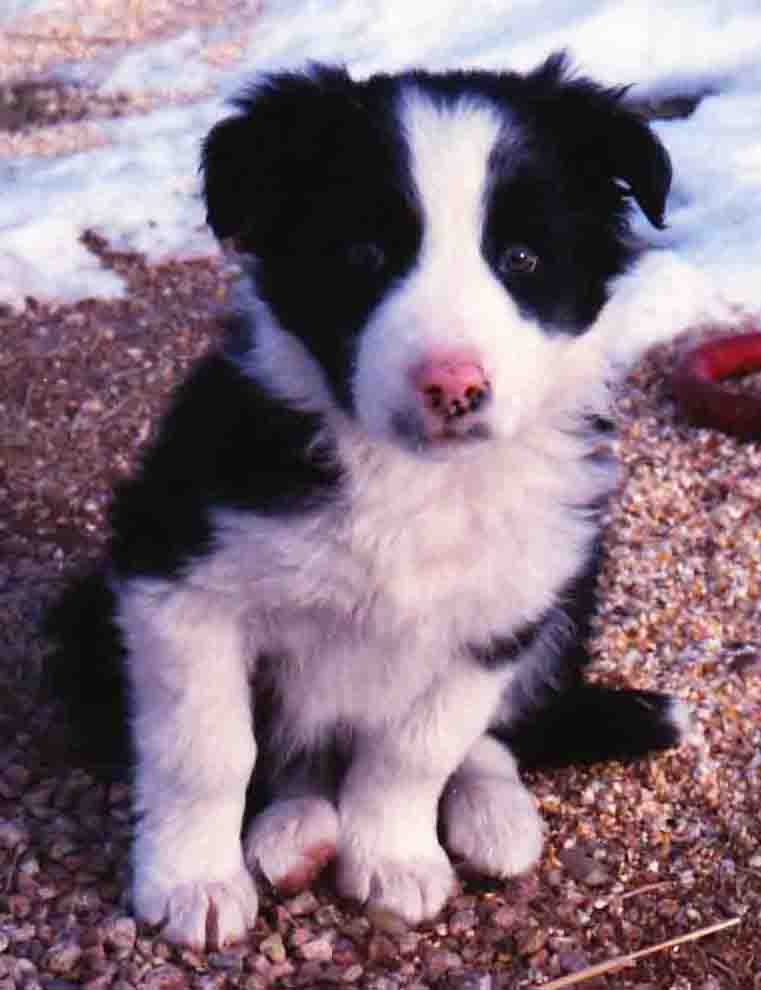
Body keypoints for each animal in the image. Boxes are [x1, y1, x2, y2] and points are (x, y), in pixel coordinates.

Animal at [46, 53, 687, 950]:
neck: (408, 477)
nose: (452, 386)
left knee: (493, 735)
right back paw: (295, 834)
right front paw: (194, 882)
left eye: (522, 259)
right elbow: (207, 748)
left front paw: (391, 859)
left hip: (566, 589)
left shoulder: (499, 609)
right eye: (363, 253)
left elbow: (417, 749)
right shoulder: (174, 577)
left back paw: (492, 819)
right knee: (293, 759)